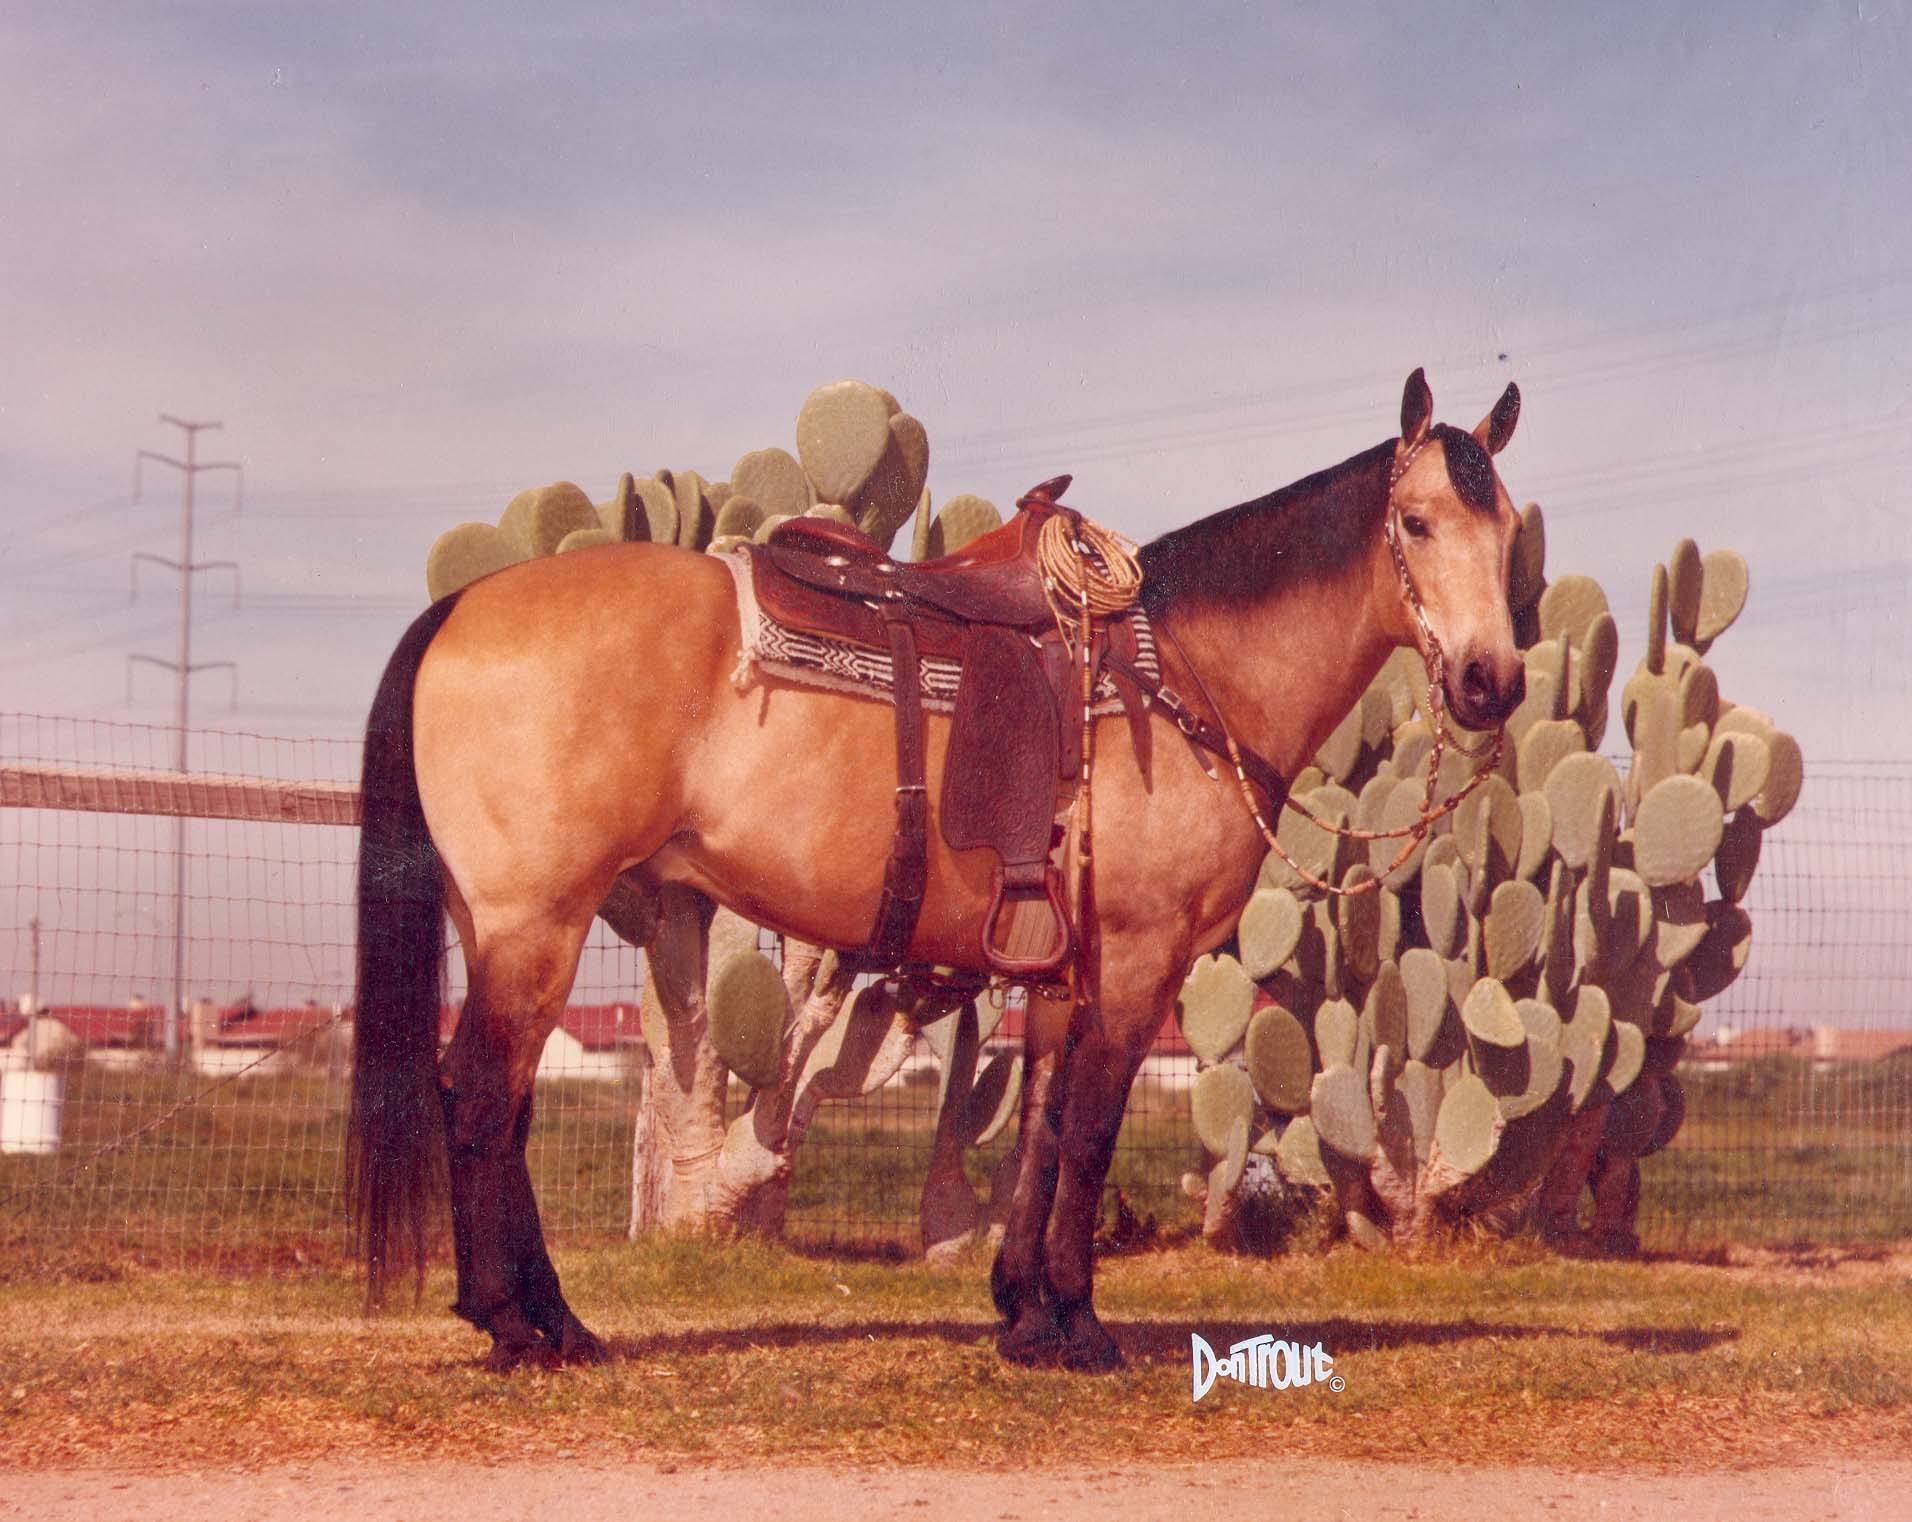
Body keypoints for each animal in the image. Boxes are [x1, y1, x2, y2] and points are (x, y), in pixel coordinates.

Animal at [349, 367, 1528, 1373]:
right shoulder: (1138, 963)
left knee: (495, 1102)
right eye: (1417, 523)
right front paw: (1080, 1325)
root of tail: (463, 606)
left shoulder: (1062, 970)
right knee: (483, 1097)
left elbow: (1043, 1124)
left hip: (501, 925)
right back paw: (521, 1326)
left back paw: (546, 1322)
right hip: (537, 922)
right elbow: (1090, 1130)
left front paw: (1027, 1312)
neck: (1185, 673)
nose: (1491, 681)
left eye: (1511, 531)